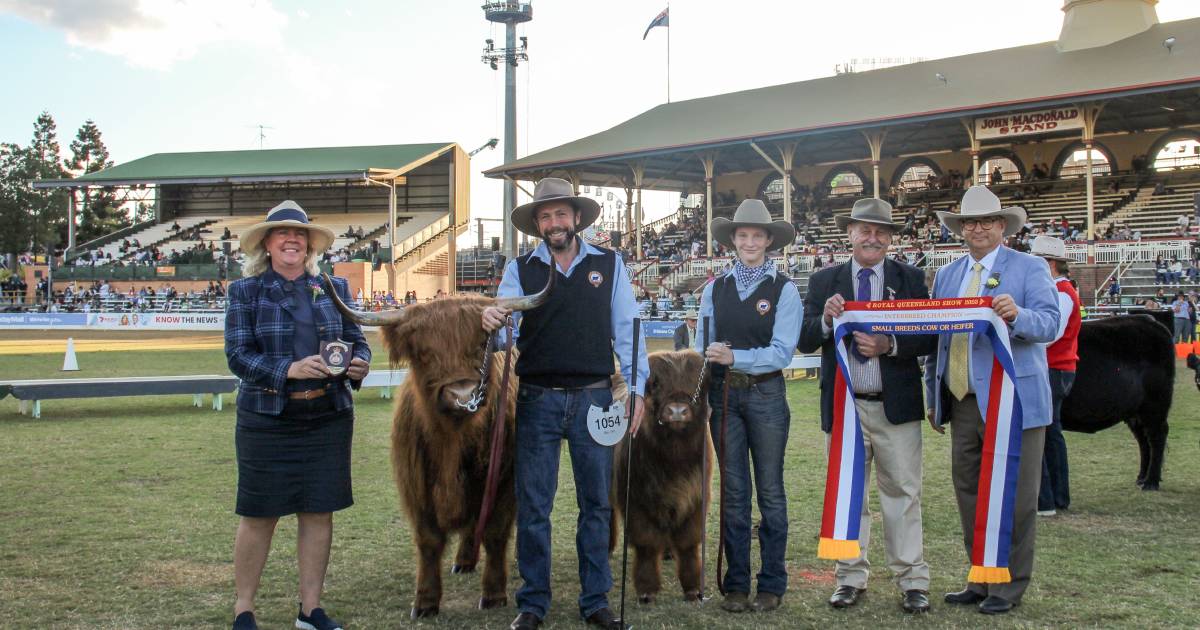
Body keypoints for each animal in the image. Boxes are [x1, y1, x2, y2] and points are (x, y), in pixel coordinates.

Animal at [1060, 316, 1171, 489]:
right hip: (1135, 413)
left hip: (1154, 406)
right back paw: (1141, 478)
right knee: (1143, 440)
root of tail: (1150, 321)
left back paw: (1150, 482)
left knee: (1156, 437)